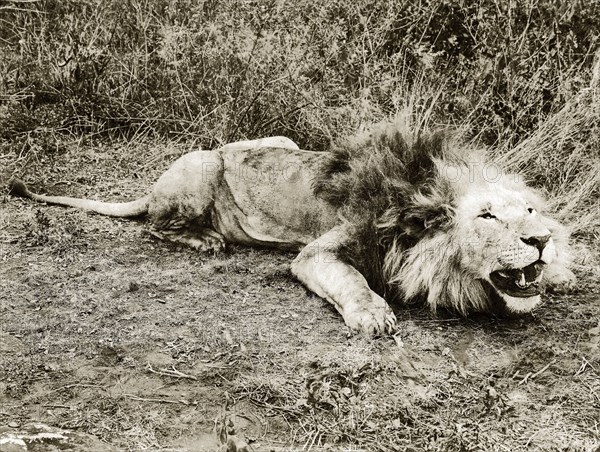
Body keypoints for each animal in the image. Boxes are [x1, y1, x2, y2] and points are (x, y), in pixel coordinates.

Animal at [7, 123, 576, 336]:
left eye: (530, 211)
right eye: (486, 216)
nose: (541, 241)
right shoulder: (320, 253)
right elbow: (353, 282)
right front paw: (375, 316)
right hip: (201, 168)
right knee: (154, 224)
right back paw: (205, 239)